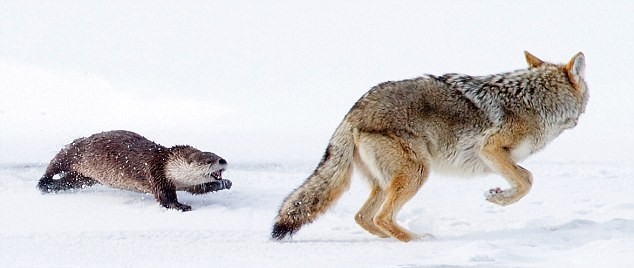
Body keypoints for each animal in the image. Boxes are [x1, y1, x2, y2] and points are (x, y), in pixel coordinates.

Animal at [37, 130, 231, 211]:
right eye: (209, 160)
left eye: (217, 155)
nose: (223, 161)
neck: (169, 165)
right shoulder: (156, 174)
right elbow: (165, 198)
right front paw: (182, 206)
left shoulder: (184, 183)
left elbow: (198, 189)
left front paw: (224, 183)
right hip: (72, 152)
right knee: (54, 165)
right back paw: (43, 183)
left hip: (84, 177)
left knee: (69, 180)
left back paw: (53, 186)